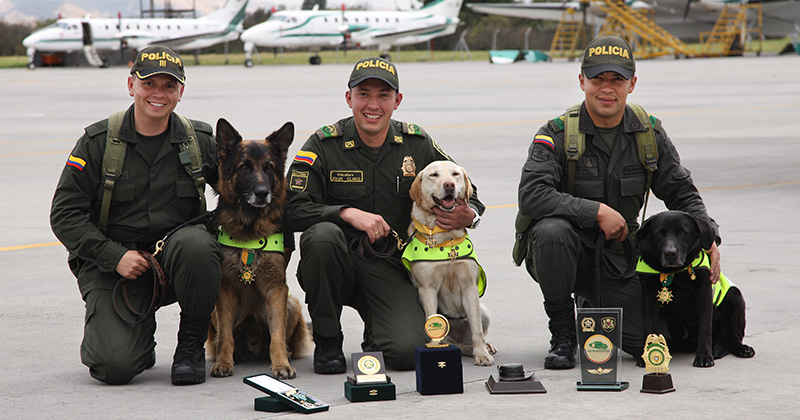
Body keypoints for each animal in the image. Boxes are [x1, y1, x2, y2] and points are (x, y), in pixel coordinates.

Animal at [208, 119, 310, 380]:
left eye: (269, 167)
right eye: (244, 167)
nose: (263, 193)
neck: (250, 230)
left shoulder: (276, 290)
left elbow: (277, 336)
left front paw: (281, 364)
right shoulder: (225, 292)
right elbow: (225, 336)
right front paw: (224, 362)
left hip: (291, 303)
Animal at [404, 160, 496, 364]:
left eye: (455, 174)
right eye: (434, 175)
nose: (449, 185)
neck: (446, 239)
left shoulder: (470, 287)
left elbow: (477, 330)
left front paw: (481, 354)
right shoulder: (428, 289)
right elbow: (433, 325)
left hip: (484, 310)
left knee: (475, 334)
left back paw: (484, 347)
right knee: (456, 345)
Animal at [636, 212, 752, 366]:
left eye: (683, 232)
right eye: (659, 234)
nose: (670, 253)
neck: (673, 272)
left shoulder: (704, 292)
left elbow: (705, 328)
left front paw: (704, 356)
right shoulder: (649, 294)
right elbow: (649, 327)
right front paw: (646, 355)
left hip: (735, 296)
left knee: (733, 338)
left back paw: (741, 348)